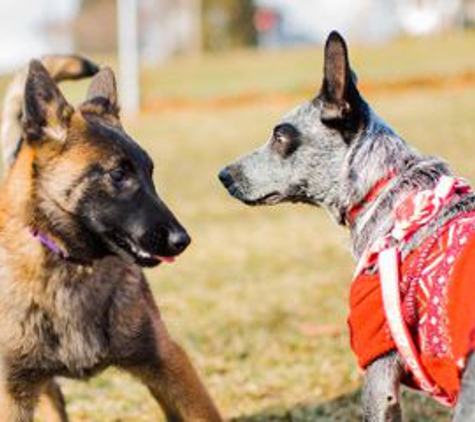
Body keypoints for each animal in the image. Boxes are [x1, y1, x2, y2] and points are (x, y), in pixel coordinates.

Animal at [0, 56, 222, 422]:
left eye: (150, 173)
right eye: (118, 174)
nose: (183, 240)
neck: (73, 268)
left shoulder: (167, 362)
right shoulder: (12, 393)